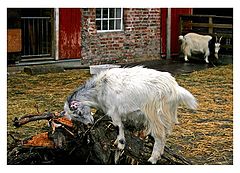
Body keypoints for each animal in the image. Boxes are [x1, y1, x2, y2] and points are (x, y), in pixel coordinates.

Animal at [63, 66, 197, 164]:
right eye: (75, 117)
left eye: (79, 113)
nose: (89, 123)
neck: (100, 89)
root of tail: (174, 88)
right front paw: (117, 142)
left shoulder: (114, 112)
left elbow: (118, 127)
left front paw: (120, 145)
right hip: (164, 114)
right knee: (164, 134)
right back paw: (159, 155)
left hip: (154, 114)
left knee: (159, 135)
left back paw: (152, 159)